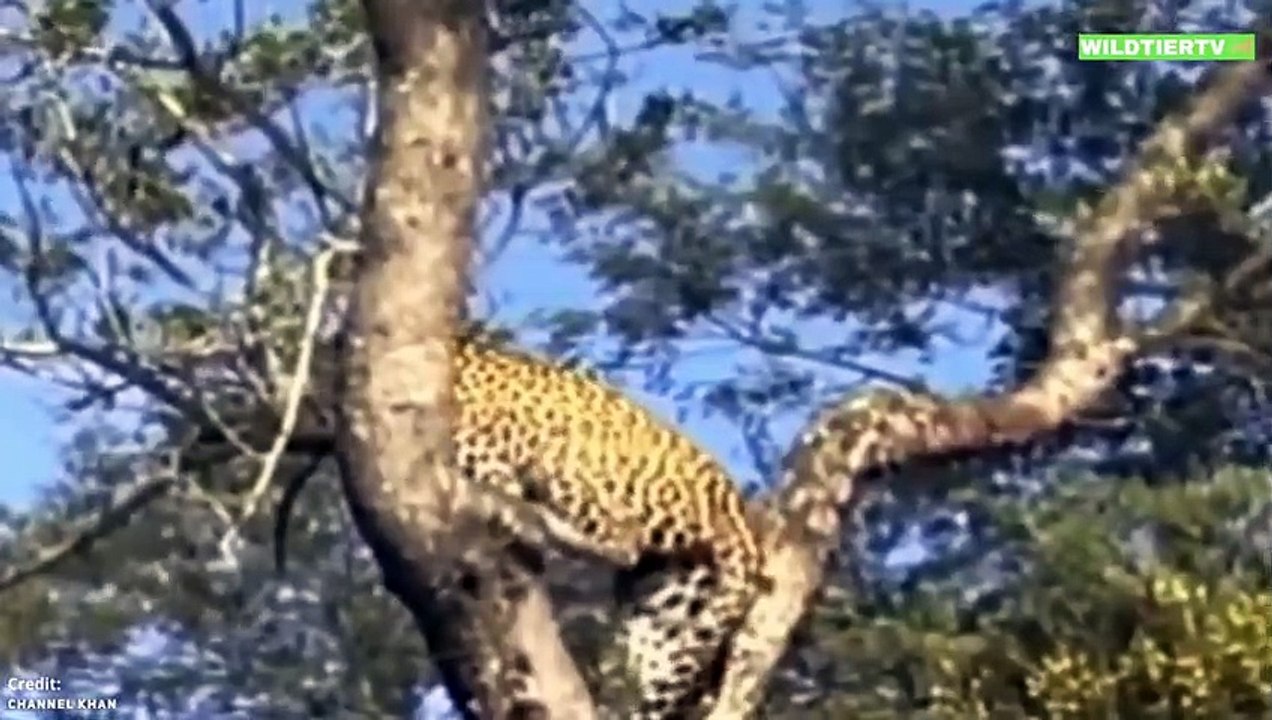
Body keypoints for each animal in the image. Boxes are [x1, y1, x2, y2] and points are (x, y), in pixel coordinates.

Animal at [270, 333, 771, 718]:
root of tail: (736, 516)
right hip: (670, 607)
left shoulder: (486, 447)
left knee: (621, 537)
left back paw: (543, 523)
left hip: (570, 458)